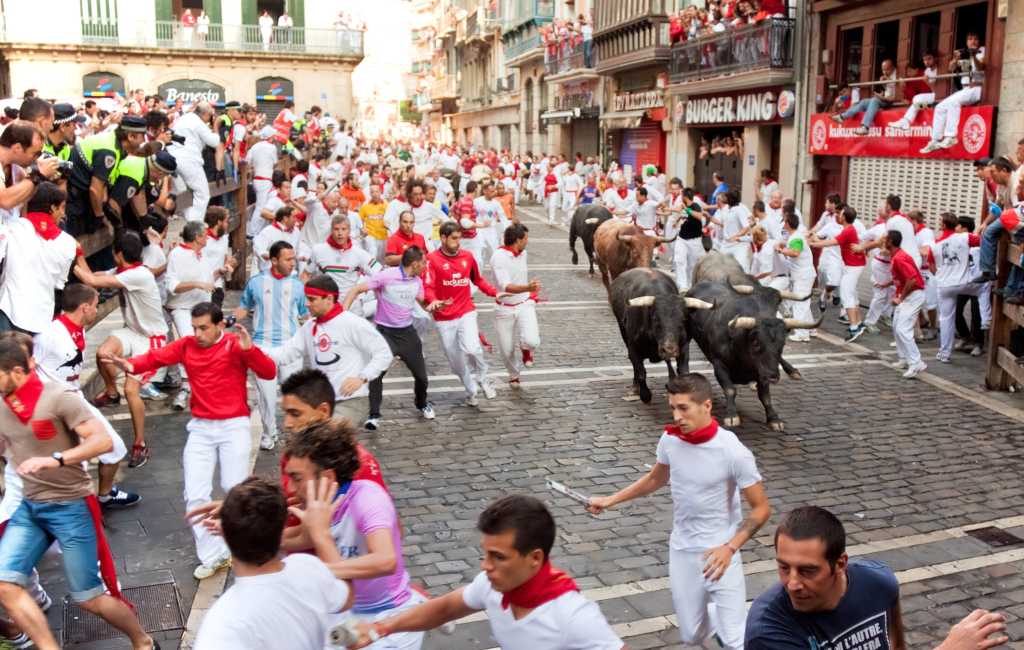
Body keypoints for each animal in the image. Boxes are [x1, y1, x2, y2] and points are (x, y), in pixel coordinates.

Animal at [606, 268, 712, 401]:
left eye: (683, 319)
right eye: (656, 319)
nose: (669, 349)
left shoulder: (683, 346)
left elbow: (683, 370)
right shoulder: (633, 347)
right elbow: (640, 371)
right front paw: (645, 394)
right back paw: (636, 386)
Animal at [684, 253, 819, 431]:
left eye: (782, 344)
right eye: (756, 342)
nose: (773, 377)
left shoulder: (763, 370)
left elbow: (765, 396)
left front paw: (773, 418)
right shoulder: (719, 364)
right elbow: (730, 389)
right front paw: (732, 416)